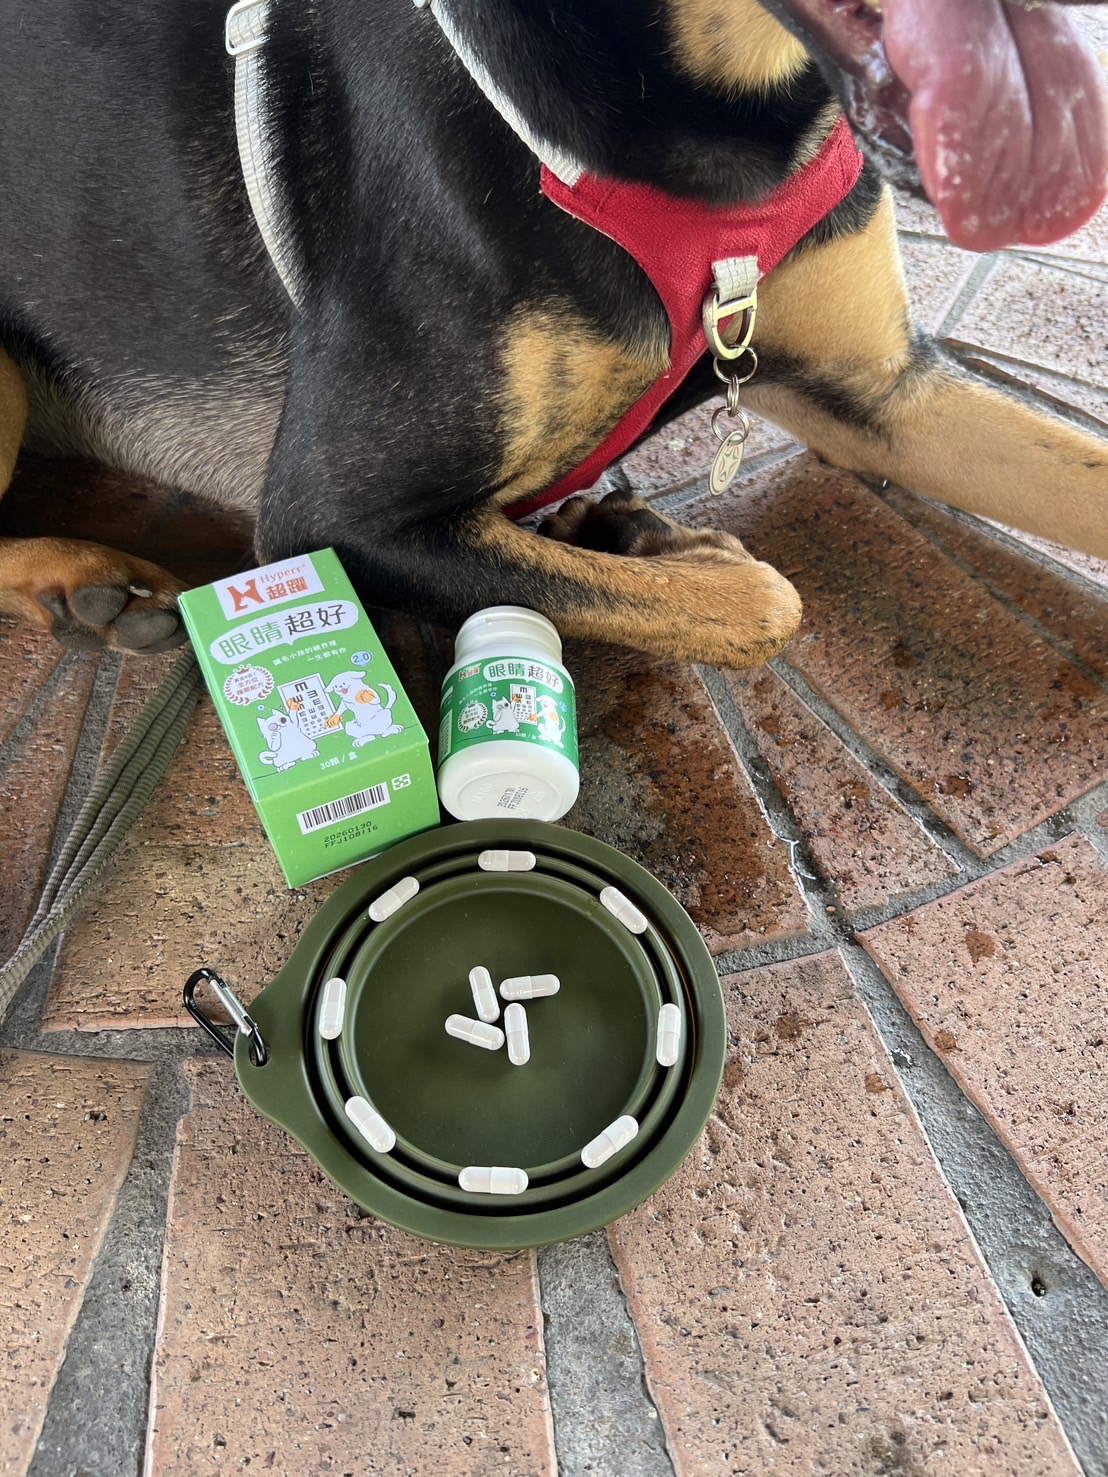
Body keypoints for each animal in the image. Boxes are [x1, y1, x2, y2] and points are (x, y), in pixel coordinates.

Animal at [0, 0, 1105, 670]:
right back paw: (86, 581)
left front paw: (618, 534)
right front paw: (641, 545)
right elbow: (764, 607)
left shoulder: (880, 390)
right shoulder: (329, 520)